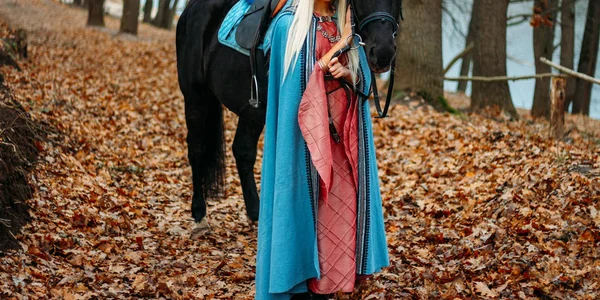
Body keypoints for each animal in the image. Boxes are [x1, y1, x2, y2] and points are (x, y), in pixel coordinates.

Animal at [176, 0, 404, 234]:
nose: (383, 53)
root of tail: (191, 9)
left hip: (250, 111)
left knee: (243, 151)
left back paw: (256, 214)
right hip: (196, 96)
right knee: (197, 149)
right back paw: (199, 215)